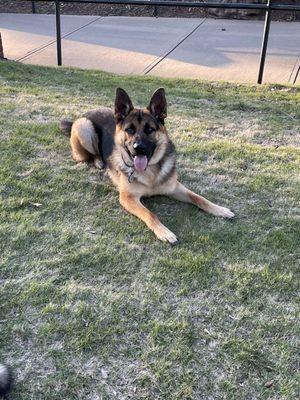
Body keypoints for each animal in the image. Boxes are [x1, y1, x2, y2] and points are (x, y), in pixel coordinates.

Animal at [59, 88, 234, 244]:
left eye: (150, 129)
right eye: (129, 130)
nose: (138, 148)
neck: (150, 172)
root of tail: (84, 115)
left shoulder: (175, 187)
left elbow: (199, 198)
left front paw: (220, 209)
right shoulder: (128, 198)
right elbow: (149, 213)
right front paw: (164, 232)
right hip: (85, 128)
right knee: (87, 155)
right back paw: (99, 161)